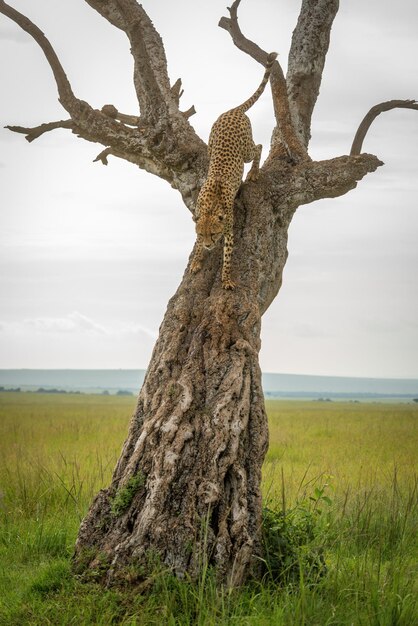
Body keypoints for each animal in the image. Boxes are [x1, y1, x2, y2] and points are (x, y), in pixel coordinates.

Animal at [190, 52, 278, 288]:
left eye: (213, 233)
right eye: (202, 234)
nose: (209, 244)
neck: (211, 208)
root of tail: (233, 110)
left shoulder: (229, 231)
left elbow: (228, 258)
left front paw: (227, 279)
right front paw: (197, 259)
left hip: (246, 149)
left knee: (258, 147)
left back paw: (254, 172)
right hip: (212, 145)